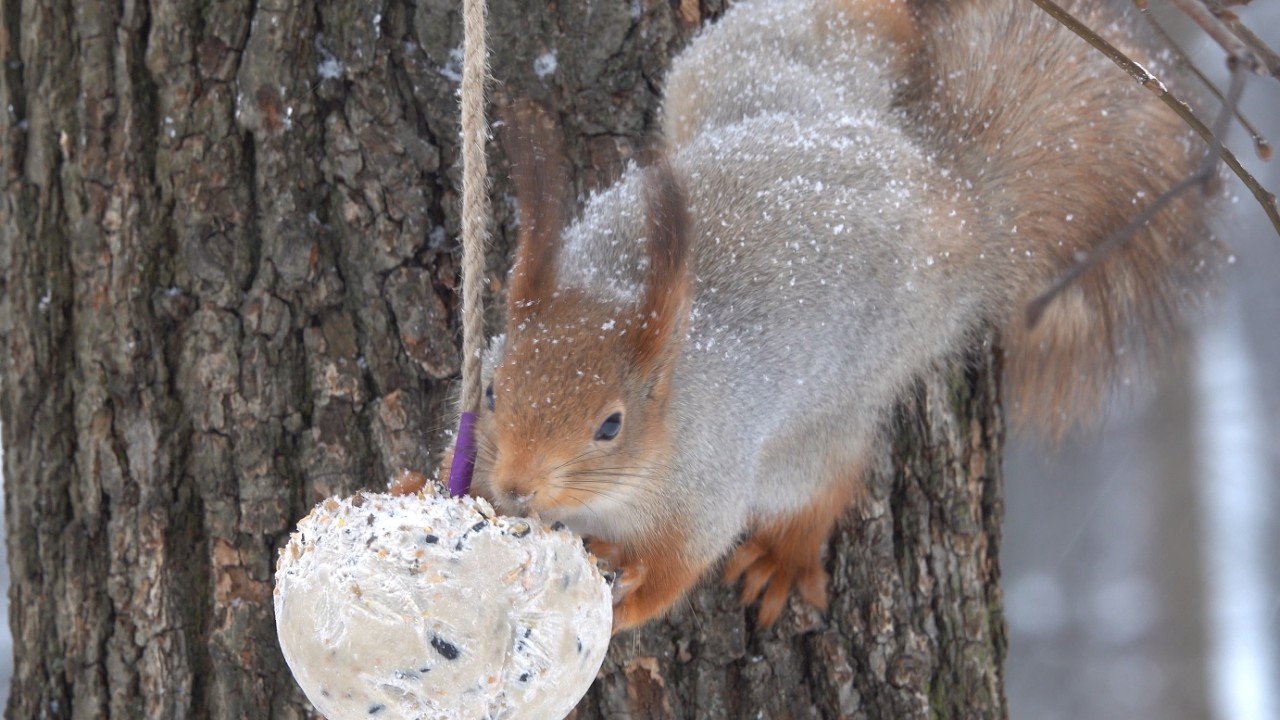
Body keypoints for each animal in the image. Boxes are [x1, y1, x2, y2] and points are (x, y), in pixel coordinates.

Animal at [448, 0, 1218, 631]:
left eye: (610, 425)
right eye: (491, 388)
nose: (516, 488)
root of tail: (952, 199)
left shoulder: (705, 480)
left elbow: (683, 562)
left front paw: (632, 603)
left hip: (834, 402)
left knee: (829, 479)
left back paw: (784, 559)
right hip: (749, 75)